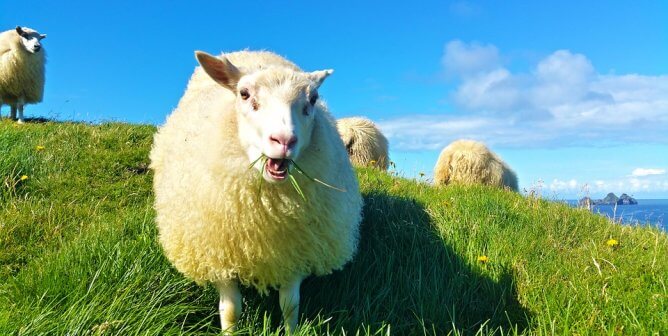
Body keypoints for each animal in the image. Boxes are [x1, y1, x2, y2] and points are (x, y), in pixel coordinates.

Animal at [150, 50, 366, 334]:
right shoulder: (218, 251)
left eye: (313, 99)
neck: (266, 212)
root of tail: (254, 50)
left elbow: (290, 305)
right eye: (244, 94)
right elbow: (231, 310)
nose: (284, 140)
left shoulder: (295, 248)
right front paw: (229, 331)